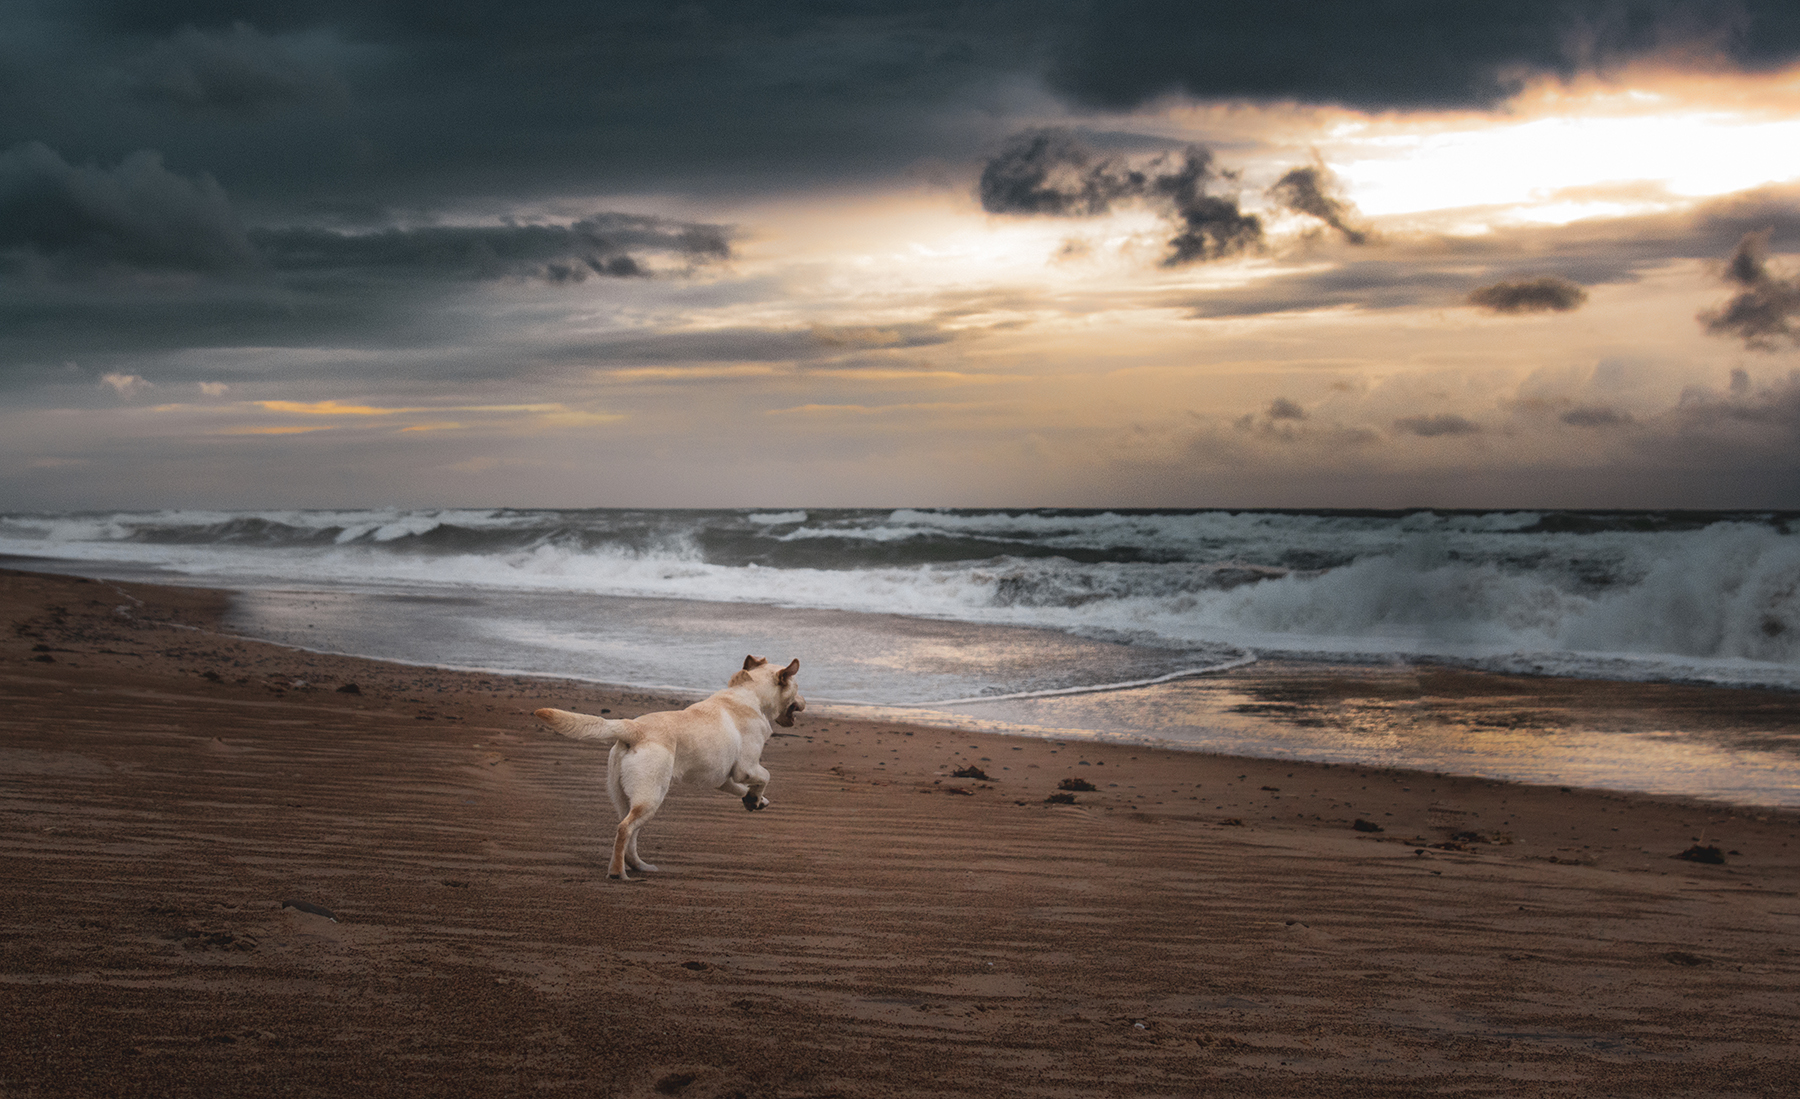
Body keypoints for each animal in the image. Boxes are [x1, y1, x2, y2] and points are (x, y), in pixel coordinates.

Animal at [529, 658, 806, 881]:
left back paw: (639, 867)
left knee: (630, 834)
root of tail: (633, 728)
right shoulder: (746, 768)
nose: (805, 701)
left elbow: (744, 788)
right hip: (651, 796)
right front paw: (756, 798)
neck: (749, 695)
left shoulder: (723, 779)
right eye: (798, 687)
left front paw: (755, 800)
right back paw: (618, 873)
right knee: (624, 829)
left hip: (626, 798)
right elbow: (765, 775)